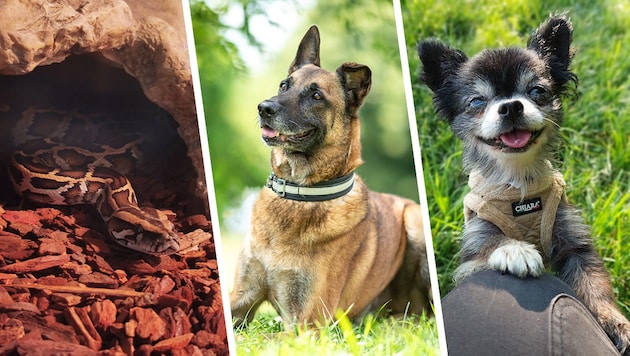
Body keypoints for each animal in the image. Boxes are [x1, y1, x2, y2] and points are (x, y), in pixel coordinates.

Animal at [232, 24, 434, 328]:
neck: (299, 193)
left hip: (414, 220)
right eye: (284, 85)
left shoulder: (305, 322)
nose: (264, 108)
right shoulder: (240, 302)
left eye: (316, 96)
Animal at [420, 14, 630, 354]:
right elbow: (491, 243)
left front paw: (617, 324)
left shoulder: (575, 243)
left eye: (537, 91)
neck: (519, 183)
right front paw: (515, 251)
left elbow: (594, 287)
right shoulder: (472, 252)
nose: (511, 106)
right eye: (476, 101)